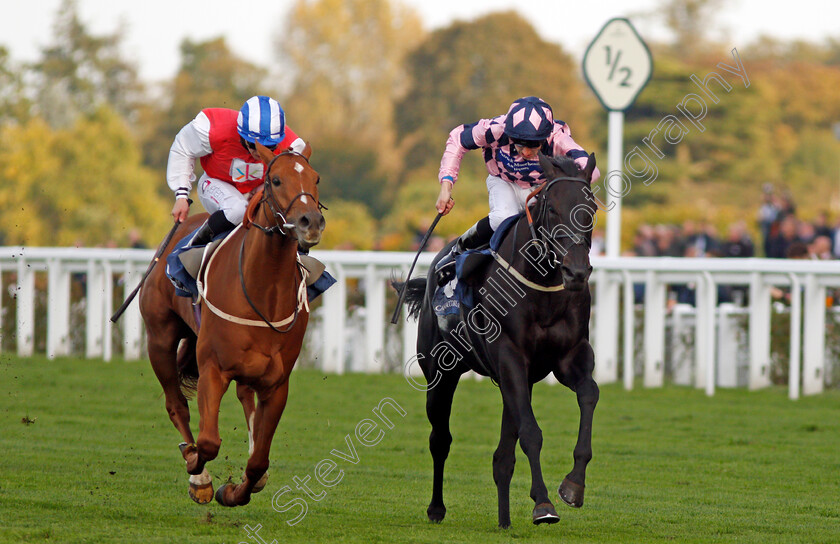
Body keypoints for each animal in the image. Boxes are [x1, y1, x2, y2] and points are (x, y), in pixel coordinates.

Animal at [138, 143, 324, 506]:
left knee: (244, 398)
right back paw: (197, 473)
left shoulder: (277, 383)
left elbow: (259, 460)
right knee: (176, 404)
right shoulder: (213, 367)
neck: (263, 290)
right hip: (160, 339)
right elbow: (208, 442)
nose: (311, 221)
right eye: (276, 180)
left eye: (315, 178)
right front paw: (196, 467)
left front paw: (236, 491)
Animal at [398, 152, 600, 528]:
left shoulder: (569, 357)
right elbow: (531, 433)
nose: (576, 272)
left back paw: (504, 520)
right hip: (440, 373)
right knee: (440, 439)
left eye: (590, 208)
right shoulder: (510, 356)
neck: (542, 285)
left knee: (503, 455)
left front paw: (573, 485)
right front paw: (543, 504)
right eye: (553, 209)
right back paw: (436, 508)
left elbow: (589, 396)